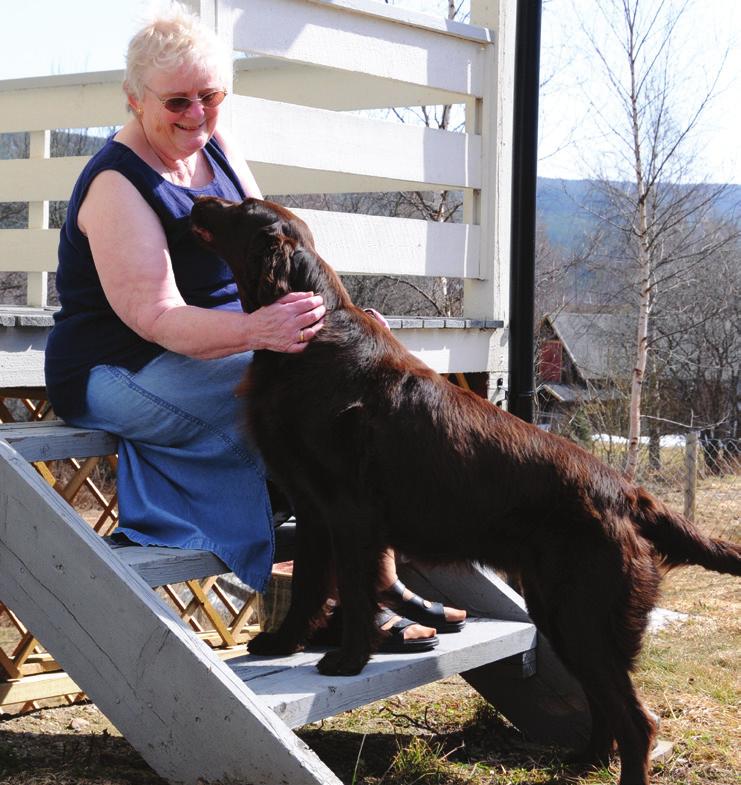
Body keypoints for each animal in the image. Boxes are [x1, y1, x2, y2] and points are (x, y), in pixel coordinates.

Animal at [192, 198, 740, 784]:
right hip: (559, 612)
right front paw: (282, 643)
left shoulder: (350, 514)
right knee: (604, 704)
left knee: (636, 720)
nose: (199, 200)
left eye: (238, 209)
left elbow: (357, 593)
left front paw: (347, 659)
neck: (310, 342)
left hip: (585, 615)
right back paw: (581, 762)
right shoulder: (314, 510)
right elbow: (310, 587)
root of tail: (629, 494)